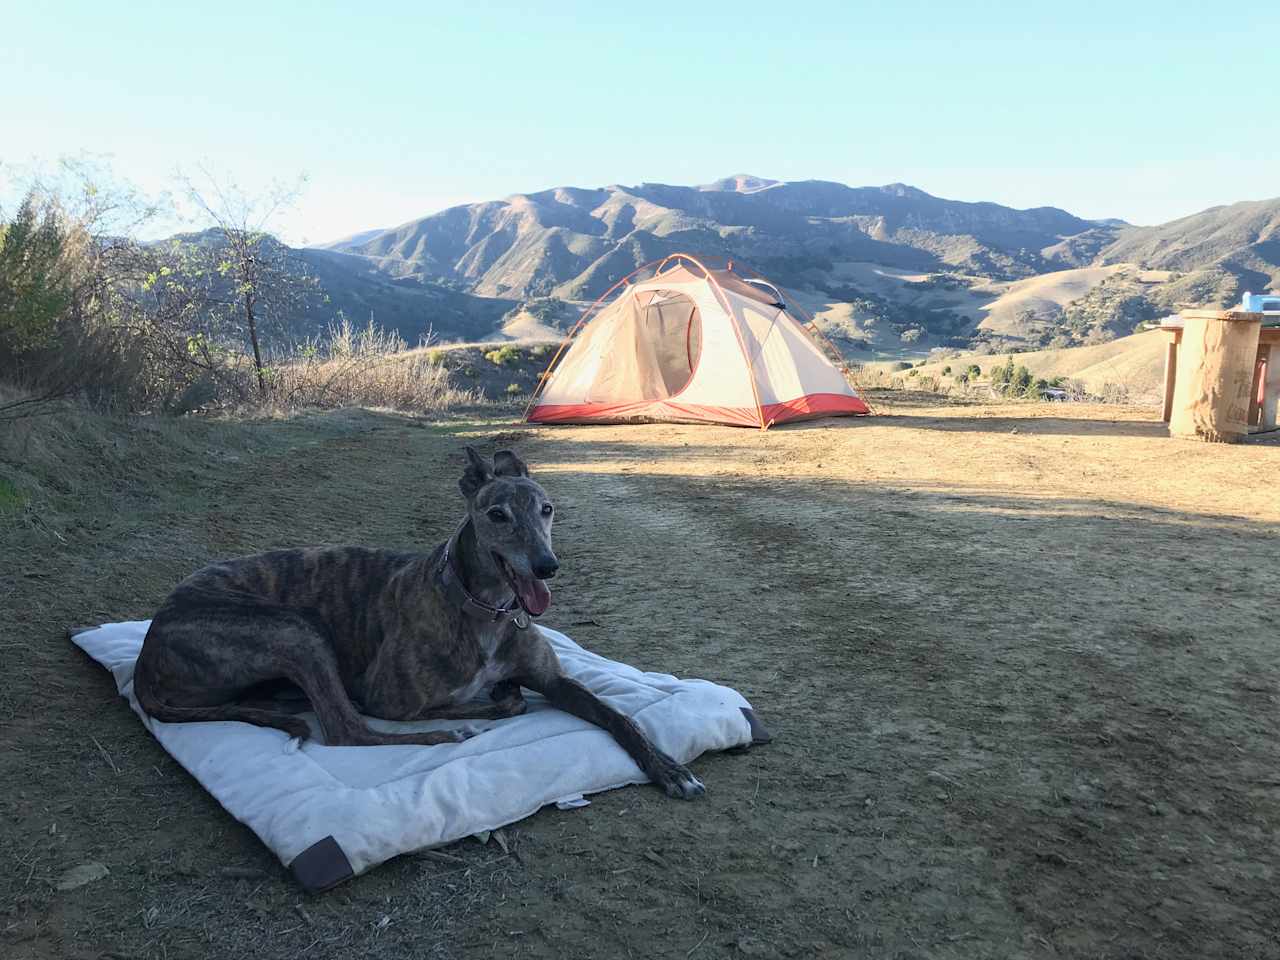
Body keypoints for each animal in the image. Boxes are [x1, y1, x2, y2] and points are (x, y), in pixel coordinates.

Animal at [132, 448, 711, 798]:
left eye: (547, 509)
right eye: (497, 515)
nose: (548, 567)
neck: (485, 608)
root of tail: (146, 650)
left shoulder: (553, 679)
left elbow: (618, 716)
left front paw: (669, 768)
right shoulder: (387, 695)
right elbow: (457, 702)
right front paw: (484, 703)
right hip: (295, 629)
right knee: (347, 731)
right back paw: (444, 734)